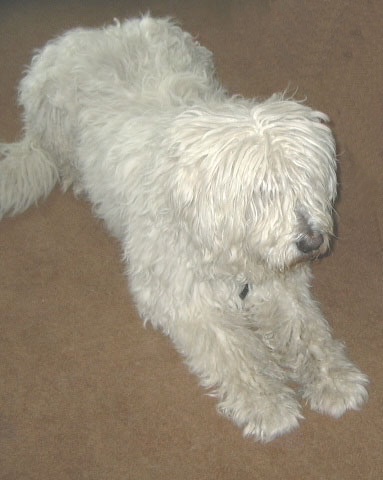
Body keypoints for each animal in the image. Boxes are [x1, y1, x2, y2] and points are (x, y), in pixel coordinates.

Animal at [0, 15, 368, 442]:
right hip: (56, 132)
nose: (312, 241)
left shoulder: (281, 285)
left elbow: (309, 333)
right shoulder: (186, 299)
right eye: (263, 191)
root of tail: (95, 31)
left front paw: (335, 380)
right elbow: (235, 353)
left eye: (305, 181)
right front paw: (267, 404)